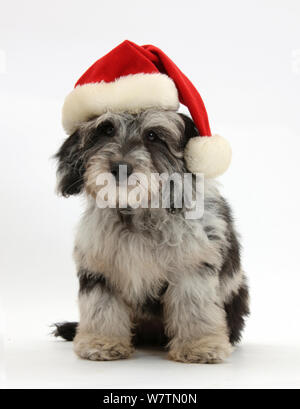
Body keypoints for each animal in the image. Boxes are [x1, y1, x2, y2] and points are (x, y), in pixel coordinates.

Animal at [53, 109, 248, 364]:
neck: (138, 212)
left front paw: (199, 345)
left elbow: (194, 307)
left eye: (153, 136)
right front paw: (102, 342)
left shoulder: (192, 267)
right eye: (106, 129)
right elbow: (101, 305)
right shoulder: (100, 267)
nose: (120, 168)